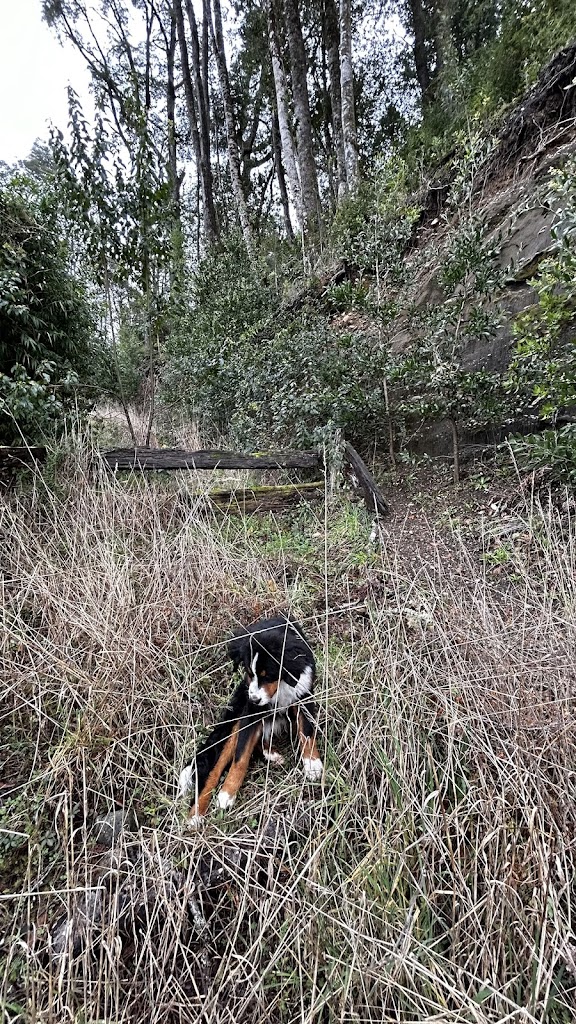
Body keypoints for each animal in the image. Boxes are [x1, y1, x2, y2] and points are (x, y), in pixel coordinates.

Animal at [178, 616, 322, 824]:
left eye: (268, 675)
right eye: (248, 672)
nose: (254, 699)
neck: (281, 686)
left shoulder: (303, 694)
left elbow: (307, 731)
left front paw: (312, 764)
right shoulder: (250, 713)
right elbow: (241, 756)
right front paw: (227, 793)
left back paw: (272, 754)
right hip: (233, 724)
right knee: (214, 771)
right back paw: (195, 815)